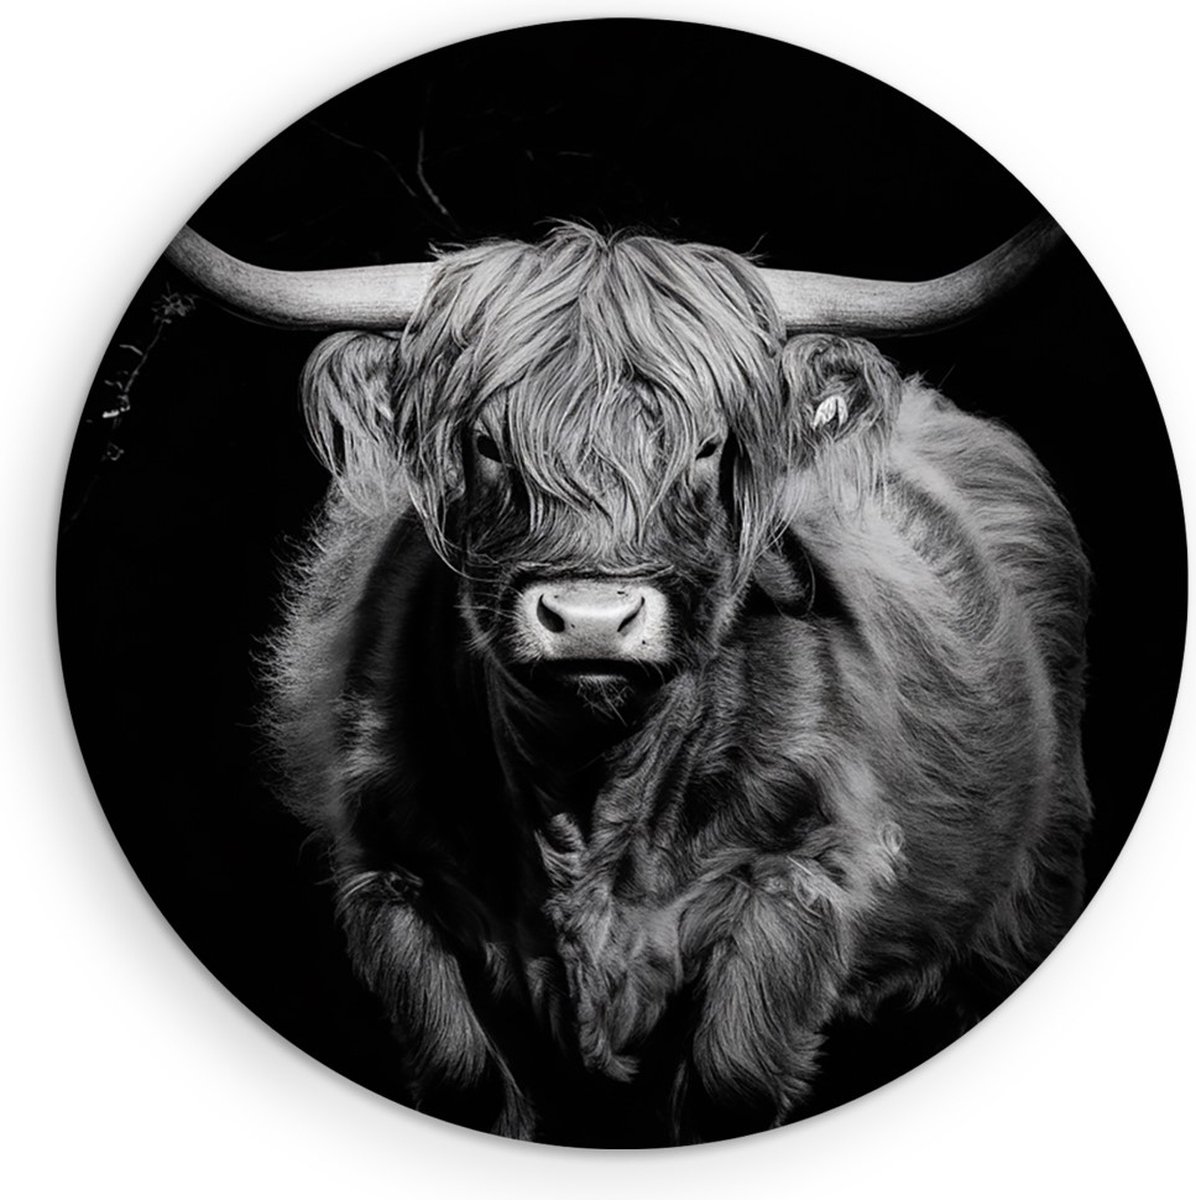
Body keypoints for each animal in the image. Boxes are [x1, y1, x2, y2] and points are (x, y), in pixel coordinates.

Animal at [167, 216, 1091, 1145]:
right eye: (488, 442)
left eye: (709, 446)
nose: (590, 617)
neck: (587, 786)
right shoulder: (390, 879)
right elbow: (464, 1079)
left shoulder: (798, 879)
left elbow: (729, 1081)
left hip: (1034, 886)